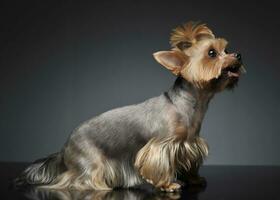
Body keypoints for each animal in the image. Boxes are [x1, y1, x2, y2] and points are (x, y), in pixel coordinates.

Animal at [14, 21, 244, 192]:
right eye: (212, 53)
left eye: (227, 49)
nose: (239, 55)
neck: (190, 102)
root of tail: (63, 148)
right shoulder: (162, 145)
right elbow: (161, 164)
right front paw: (168, 184)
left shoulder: (188, 144)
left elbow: (191, 163)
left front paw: (194, 179)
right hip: (90, 162)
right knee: (79, 180)